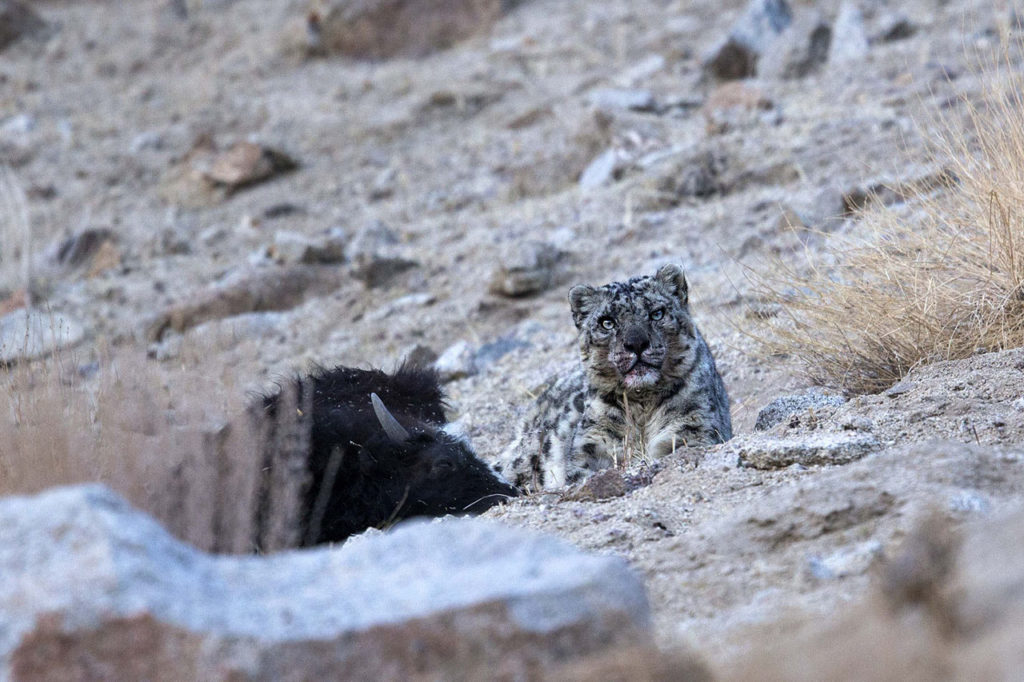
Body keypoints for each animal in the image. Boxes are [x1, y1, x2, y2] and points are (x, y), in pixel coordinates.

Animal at [493, 260, 729, 489]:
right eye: (607, 322)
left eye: (657, 313)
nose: (636, 343)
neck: (642, 407)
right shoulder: (593, 442)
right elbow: (581, 470)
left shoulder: (692, 427)